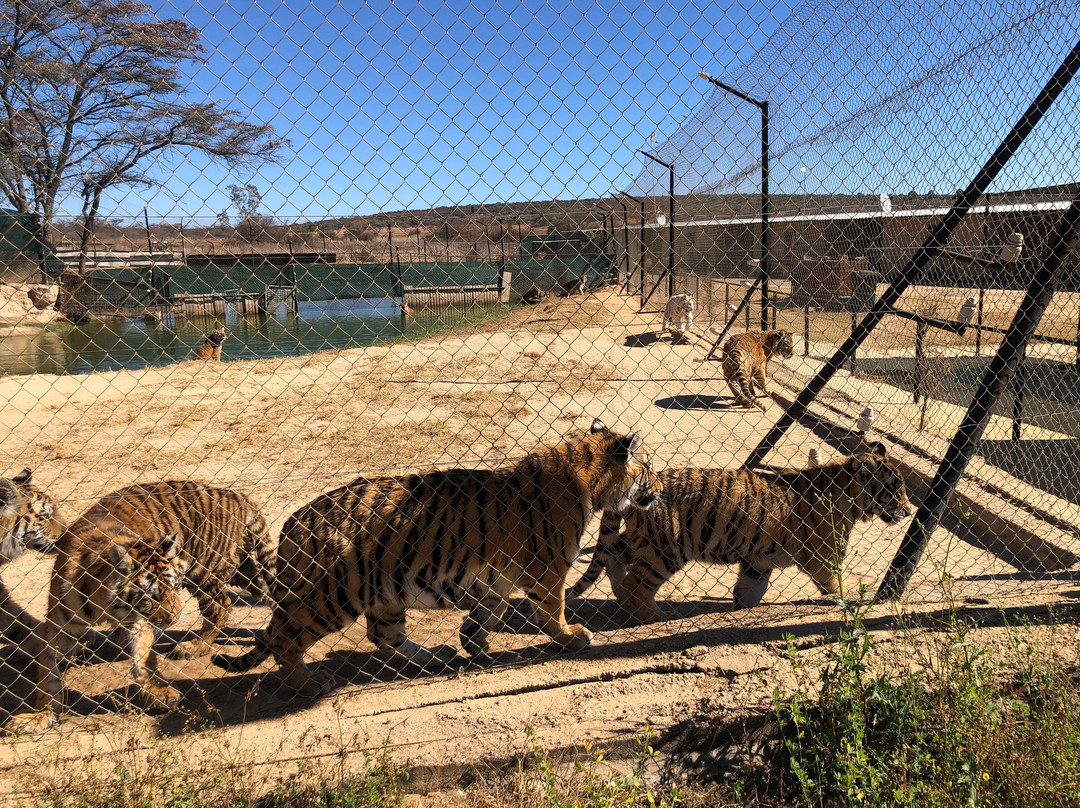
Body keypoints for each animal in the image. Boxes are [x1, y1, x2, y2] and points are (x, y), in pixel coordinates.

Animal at [6, 483, 274, 734]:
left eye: (173, 586)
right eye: (152, 595)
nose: (174, 617)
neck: (104, 604)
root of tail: (238, 495)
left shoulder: (137, 622)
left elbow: (143, 660)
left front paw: (159, 693)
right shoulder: (59, 628)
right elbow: (48, 676)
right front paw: (40, 716)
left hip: (204, 568)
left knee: (221, 606)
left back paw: (194, 646)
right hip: (242, 570)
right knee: (270, 594)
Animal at [211, 419, 660, 695]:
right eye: (649, 466)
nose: (658, 484)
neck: (588, 477)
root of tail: (296, 519)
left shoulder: (497, 577)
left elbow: (488, 613)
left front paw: (474, 644)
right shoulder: (547, 571)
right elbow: (553, 611)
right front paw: (572, 637)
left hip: (384, 593)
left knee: (383, 636)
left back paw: (435, 657)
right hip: (334, 595)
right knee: (286, 639)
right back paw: (308, 685)